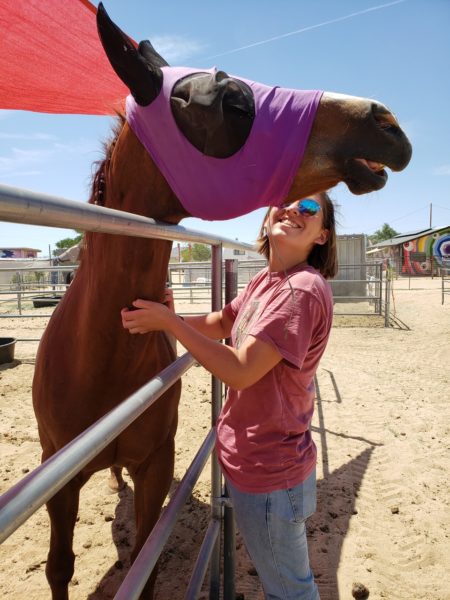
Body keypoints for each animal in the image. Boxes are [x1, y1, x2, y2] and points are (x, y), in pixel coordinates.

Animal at [31, 4, 412, 600]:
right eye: (233, 102)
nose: (387, 122)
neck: (100, 358)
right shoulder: (58, 477)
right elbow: (59, 567)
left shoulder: (155, 468)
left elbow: (145, 564)